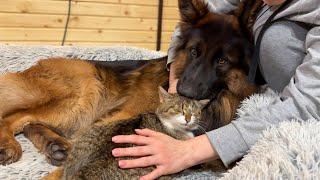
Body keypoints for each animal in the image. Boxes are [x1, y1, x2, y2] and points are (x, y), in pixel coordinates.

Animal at [0, 0, 260, 172]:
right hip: (85, 90)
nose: (182, 93)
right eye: (194, 52)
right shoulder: (115, 119)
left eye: (222, 61)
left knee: (30, 122)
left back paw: (54, 145)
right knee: (15, 117)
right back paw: (10, 144)